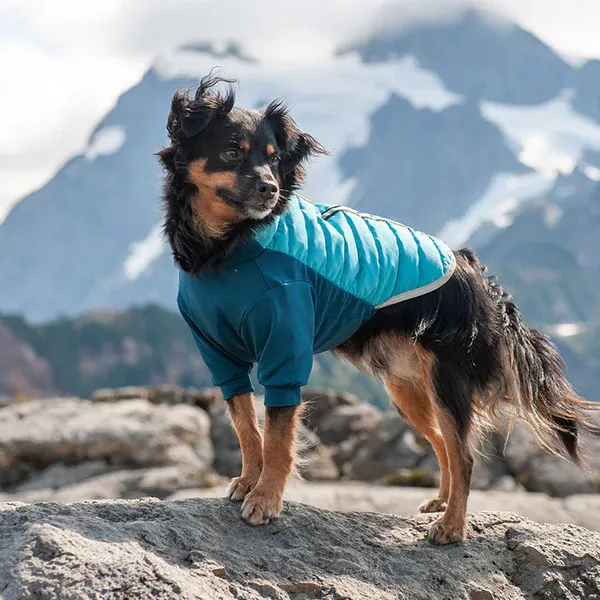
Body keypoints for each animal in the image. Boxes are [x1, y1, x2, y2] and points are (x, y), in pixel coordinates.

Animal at [157, 74, 596, 544]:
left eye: (274, 161)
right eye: (232, 150)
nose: (270, 189)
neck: (228, 248)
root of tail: (471, 266)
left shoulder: (286, 347)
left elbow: (277, 434)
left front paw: (266, 497)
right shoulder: (219, 352)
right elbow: (245, 424)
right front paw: (248, 480)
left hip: (448, 379)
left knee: (464, 454)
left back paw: (452, 525)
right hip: (406, 389)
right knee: (442, 441)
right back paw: (441, 502)